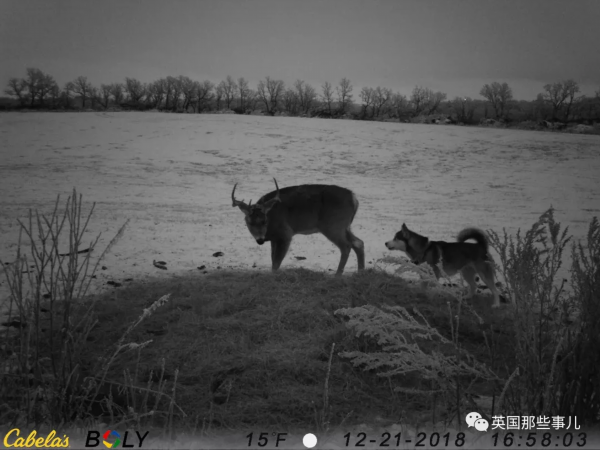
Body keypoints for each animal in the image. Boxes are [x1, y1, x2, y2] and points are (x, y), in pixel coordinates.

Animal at [232, 178, 365, 275]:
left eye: (264, 221)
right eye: (249, 222)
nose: (260, 240)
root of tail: (354, 198)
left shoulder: (285, 234)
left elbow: (276, 263)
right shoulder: (274, 239)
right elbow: (272, 259)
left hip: (333, 225)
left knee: (346, 246)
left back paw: (337, 275)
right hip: (345, 226)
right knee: (358, 242)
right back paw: (360, 272)